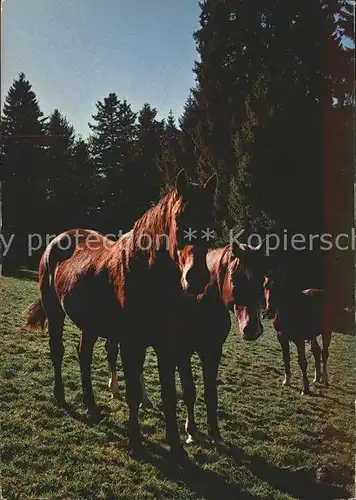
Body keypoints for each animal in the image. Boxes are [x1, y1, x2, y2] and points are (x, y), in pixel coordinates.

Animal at [24, 170, 217, 456]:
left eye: (210, 222)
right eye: (179, 220)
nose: (196, 278)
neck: (146, 272)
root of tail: (57, 242)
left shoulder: (166, 345)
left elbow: (169, 393)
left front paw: (176, 445)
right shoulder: (131, 343)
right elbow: (134, 392)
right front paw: (135, 441)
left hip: (90, 325)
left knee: (83, 356)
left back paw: (92, 408)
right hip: (55, 313)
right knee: (57, 352)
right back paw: (61, 397)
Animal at [107, 240, 266, 444]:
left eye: (260, 282)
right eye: (235, 280)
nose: (253, 329)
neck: (198, 302)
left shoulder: (213, 352)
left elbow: (211, 393)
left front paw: (215, 434)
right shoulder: (182, 353)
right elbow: (189, 391)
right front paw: (191, 431)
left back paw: (144, 399)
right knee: (112, 355)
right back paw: (114, 388)